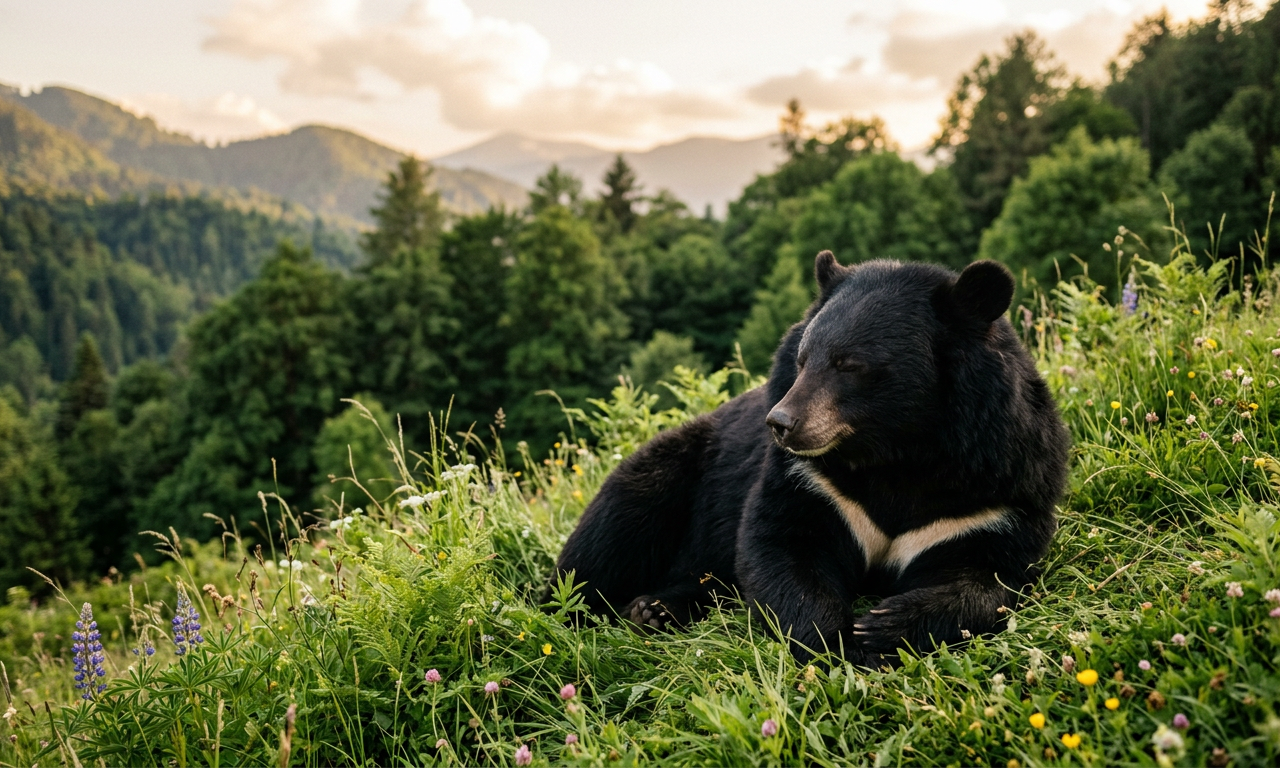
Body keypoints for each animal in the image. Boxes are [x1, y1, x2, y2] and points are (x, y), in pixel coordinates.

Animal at [551, 252, 1070, 665]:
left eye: (850, 365)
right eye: (802, 360)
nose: (781, 423)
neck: (898, 450)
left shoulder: (996, 492)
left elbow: (991, 577)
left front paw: (882, 625)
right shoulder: (813, 481)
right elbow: (781, 546)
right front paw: (838, 640)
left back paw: (655, 610)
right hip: (672, 469)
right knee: (610, 536)